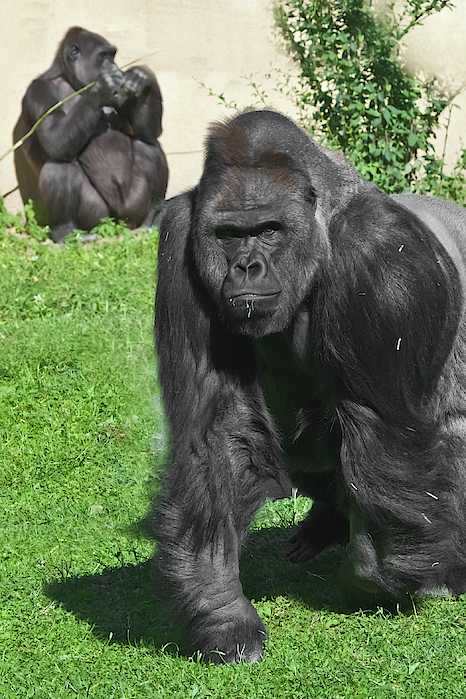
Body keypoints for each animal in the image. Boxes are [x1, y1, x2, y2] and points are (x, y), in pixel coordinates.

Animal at [12, 26, 169, 243]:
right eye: (103, 56)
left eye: (112, 55)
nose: (114, 66)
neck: (71, 80)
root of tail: (117, 222)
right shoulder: (37, 91)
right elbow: (55, 140)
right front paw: (100, 88)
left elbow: (147, 131)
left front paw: (144, 77)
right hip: (97, 217)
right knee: (60, 165)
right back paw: (65, 231)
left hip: (129, 212)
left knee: (149, 146)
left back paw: (151, 219)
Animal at [154, 108, 466, 660]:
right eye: (228, 234)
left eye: (269, 229)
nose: (246, 266)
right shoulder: (177, 243)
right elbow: (215, 431)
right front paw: (220, 610)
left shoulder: (380, 252)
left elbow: (389, 440)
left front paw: (380, 579)